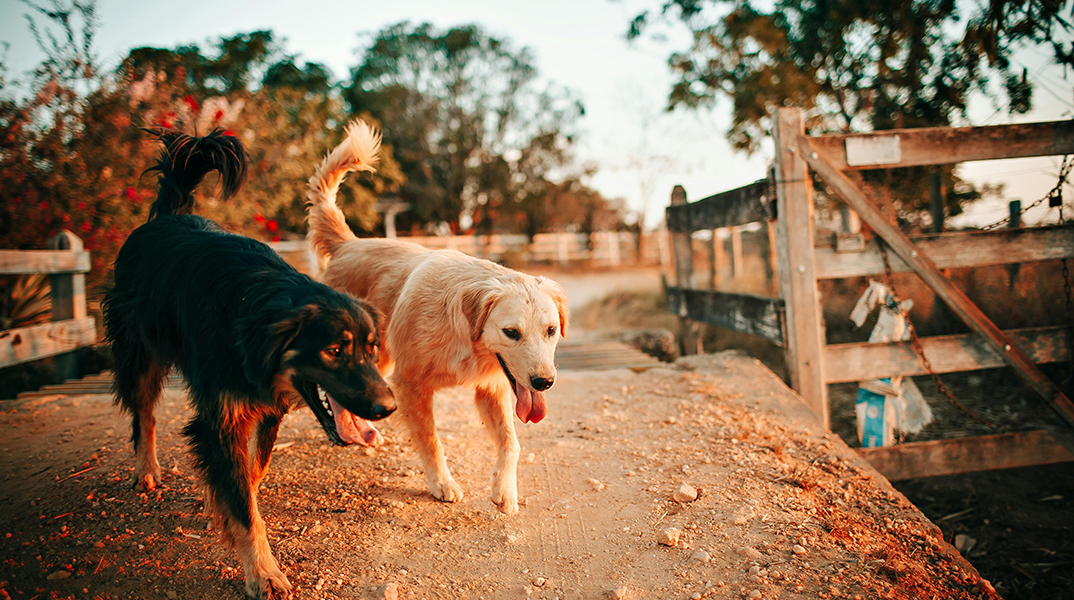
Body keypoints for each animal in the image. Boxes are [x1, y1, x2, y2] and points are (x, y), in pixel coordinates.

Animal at [102, 129, 397, 596]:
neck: (253, 311)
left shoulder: (266, 407)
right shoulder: (220, 415)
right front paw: (263, 571)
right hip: (139, 354)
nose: (388, 408)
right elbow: (242, 503)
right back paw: (146, 469)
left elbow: (250, 475)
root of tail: (165, 217)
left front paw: (222, 499)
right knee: (143, 415)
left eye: (371, 348)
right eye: (334, 350)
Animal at [305, 123, 571, 517]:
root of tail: (348, 244)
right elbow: (431, 440)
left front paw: (504, 490)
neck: (464, 337)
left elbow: (512, 443)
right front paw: (441, 483)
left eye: (550, 331)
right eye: (511, 332)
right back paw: (349, 432)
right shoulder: (410, 384)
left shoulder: (491, 388)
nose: (544, 383)